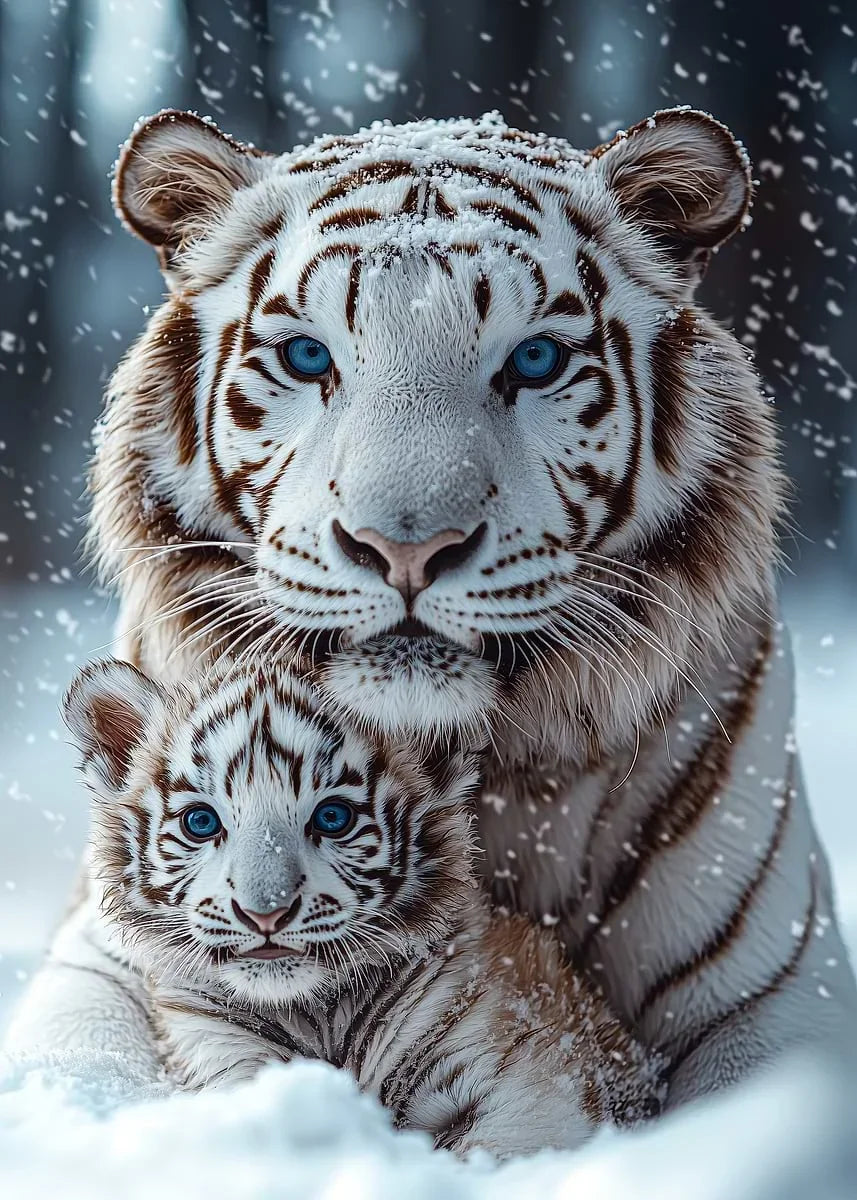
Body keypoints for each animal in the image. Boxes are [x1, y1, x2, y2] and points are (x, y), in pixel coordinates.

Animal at [61, 656, 664, 1155]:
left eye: (333, 817)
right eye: (201, 821)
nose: (265, 913)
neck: (319, 1016)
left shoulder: (529, 1087)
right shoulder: (219, 1058)